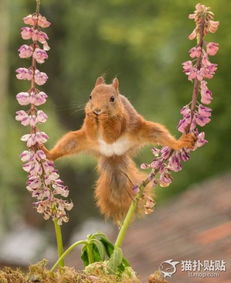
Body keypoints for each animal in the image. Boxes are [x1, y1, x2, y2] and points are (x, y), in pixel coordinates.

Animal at [41, 76, 195, 223]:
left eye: (112, 99)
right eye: (90, 96)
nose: (97, 110)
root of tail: (113, 155)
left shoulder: (123, 120)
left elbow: (112, 134)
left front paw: (103, 118)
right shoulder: (89, 135)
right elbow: (91, 131)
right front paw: (91, 116)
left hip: (147, 130)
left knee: (161, 135)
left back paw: (181, 142)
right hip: (74, 140)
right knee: (65, 145)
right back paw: (46, 153)